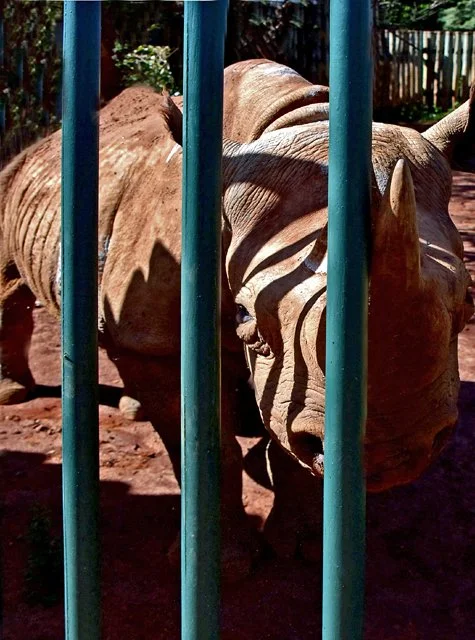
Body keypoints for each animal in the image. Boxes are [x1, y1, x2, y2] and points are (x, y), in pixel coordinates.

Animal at [0, 61, 473, 573]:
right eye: (246, 314)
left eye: (468, 304)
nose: (393, 456)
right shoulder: (162, 342)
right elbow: (208, 445)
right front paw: (225, 565)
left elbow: (286, 434)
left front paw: (304, 552)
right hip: (13, 181)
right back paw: (17, 395)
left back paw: (132, 407)